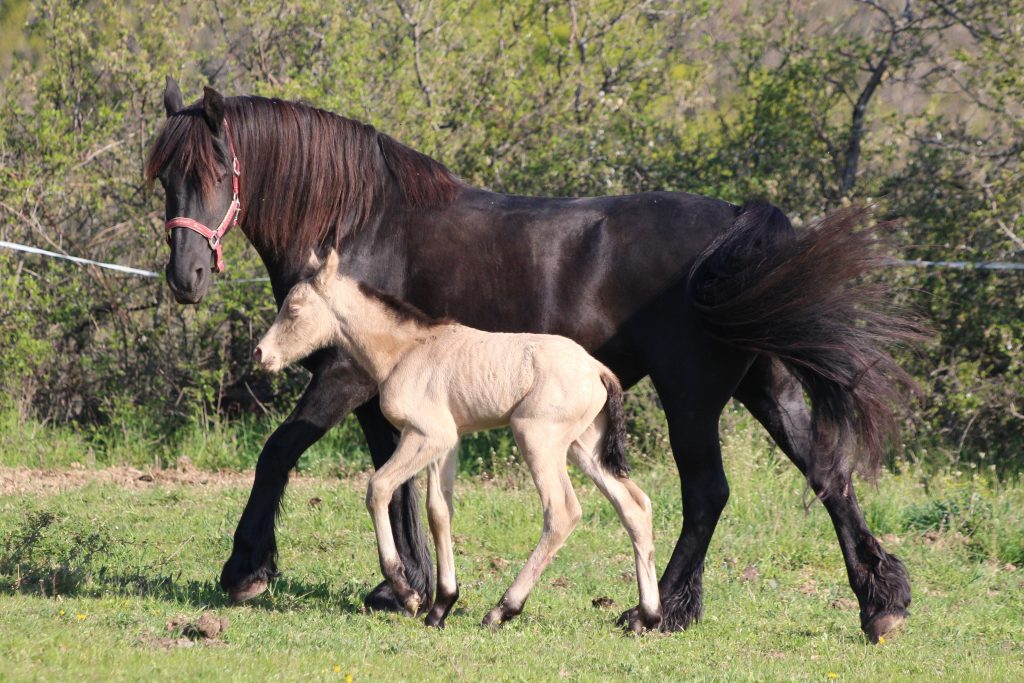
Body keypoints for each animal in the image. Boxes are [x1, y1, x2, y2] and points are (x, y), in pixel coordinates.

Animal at [251, 250, 659, 634]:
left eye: (294, 309)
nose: (261, 354)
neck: (406, 350)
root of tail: (599, 370)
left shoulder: (426, 434)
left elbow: (378, 487)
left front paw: (407, 593)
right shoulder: (447, 443)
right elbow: (439, 511)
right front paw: (441, 606)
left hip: (536, 437)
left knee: (561, 512)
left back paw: (502, 610)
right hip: (583, 446)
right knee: (635, 506)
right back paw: (648, 616)